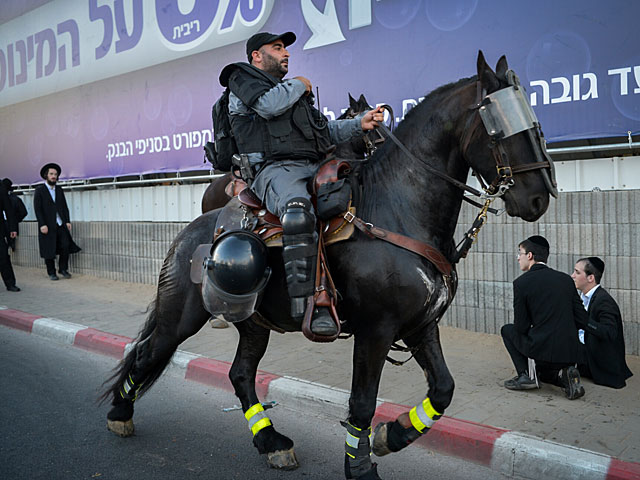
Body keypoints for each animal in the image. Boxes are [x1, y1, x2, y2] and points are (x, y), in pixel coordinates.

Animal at [104, 53, 556, 480]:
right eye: (498, 124)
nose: (539, 196)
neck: (398, 209)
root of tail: (190, 232)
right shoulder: (376, 330)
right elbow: (362, 402)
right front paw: (360, 465)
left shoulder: (421, 325)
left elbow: (443, 389)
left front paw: (392, 436)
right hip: (181, 315)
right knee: (146, 353)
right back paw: (119, 415)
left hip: (253, 322)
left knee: (240, 374)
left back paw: (271, 442)